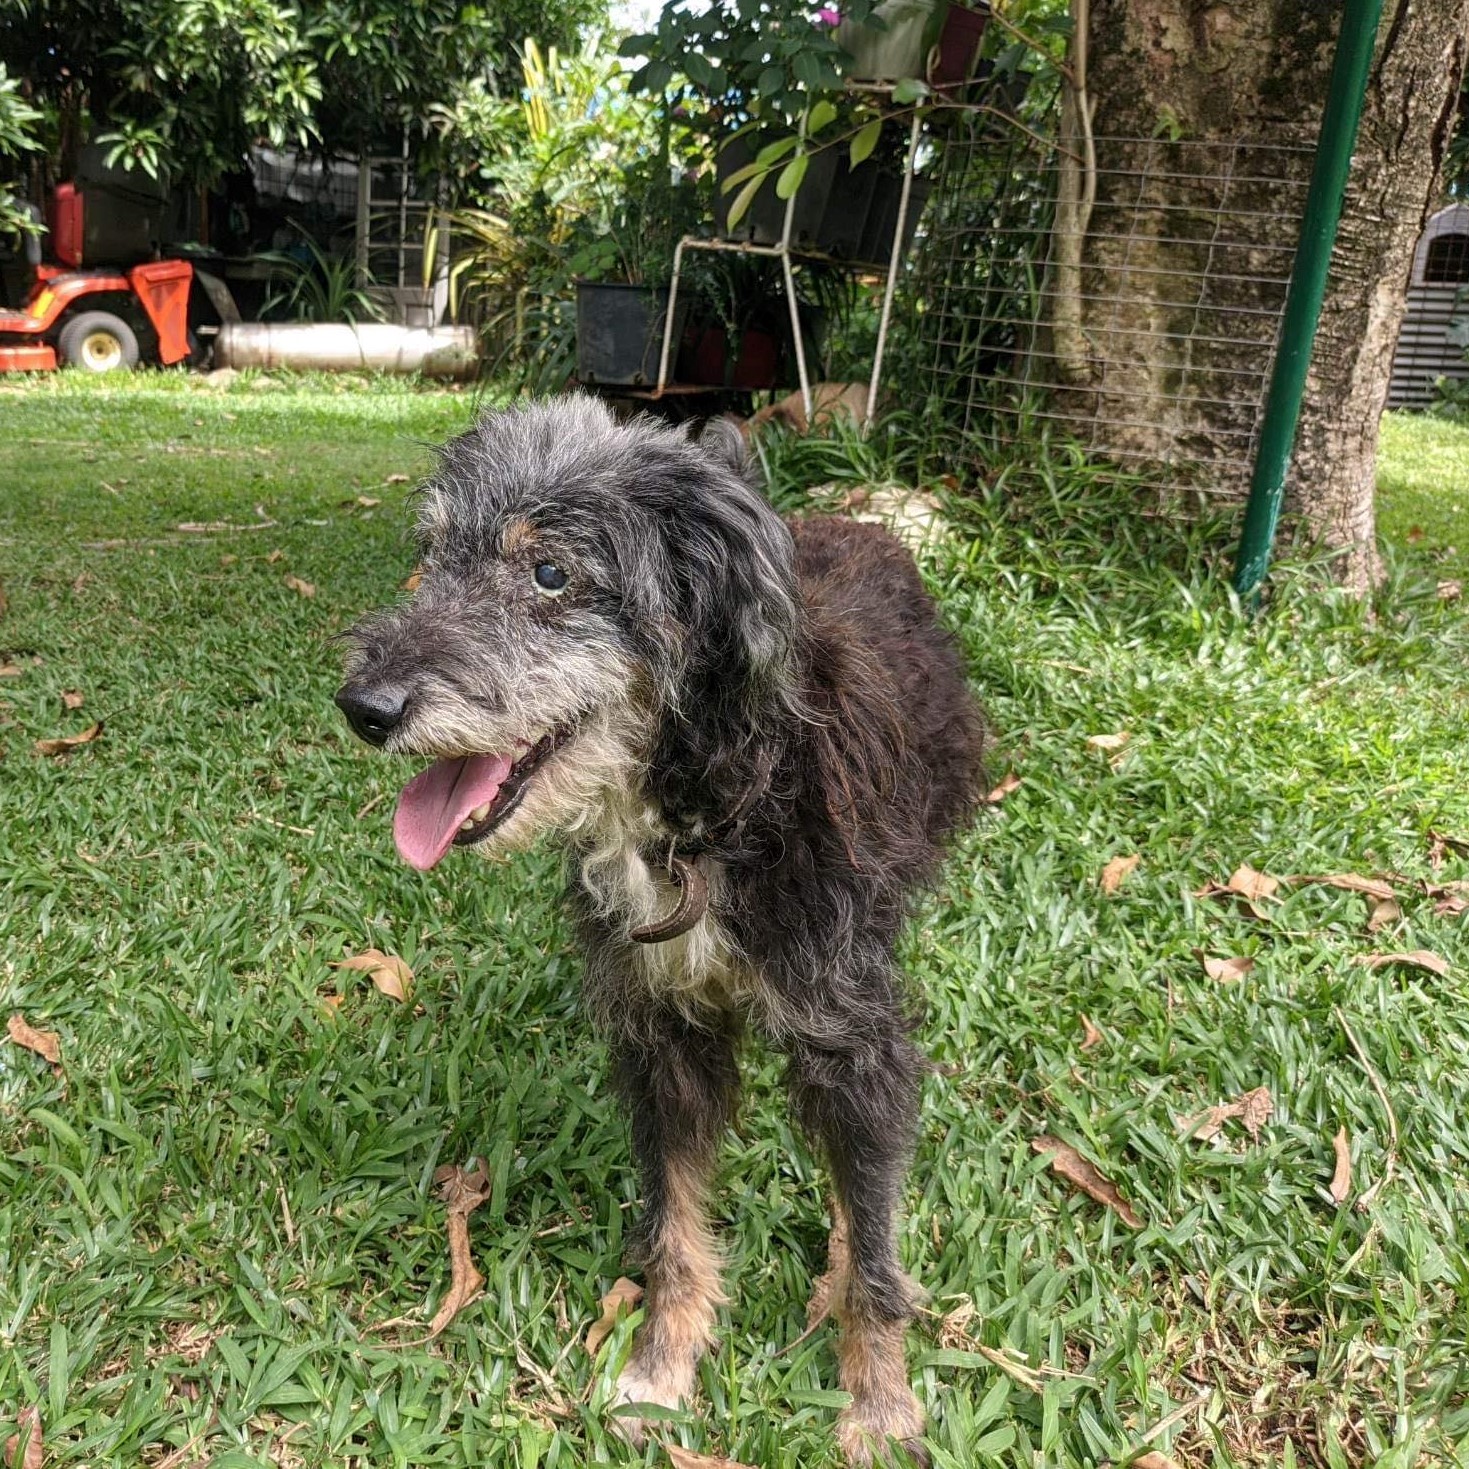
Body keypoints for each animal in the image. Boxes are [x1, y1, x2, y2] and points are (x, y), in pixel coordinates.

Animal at [336, 396, 981, 1463]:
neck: (705, 798)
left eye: (551, 574)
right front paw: (660, 1369)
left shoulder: (852, 1039)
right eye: (431, 555)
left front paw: (879, 1400)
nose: (363, 707)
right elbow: (672, 1223)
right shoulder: (662, 1031)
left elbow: (875, 1242)